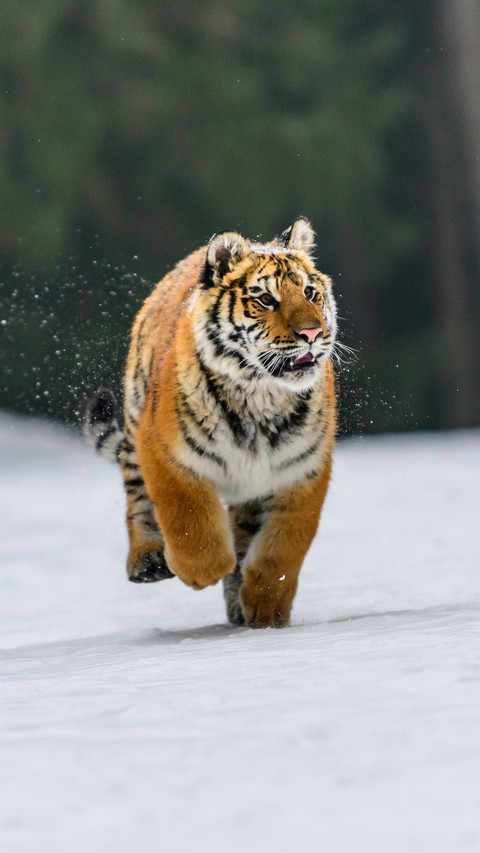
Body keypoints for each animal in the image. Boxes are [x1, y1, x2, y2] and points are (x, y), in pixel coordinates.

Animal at [85, 217, 337, 628]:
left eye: (310, 292)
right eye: (266, 300)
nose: (313, 333)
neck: (260, 396)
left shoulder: (303, 471)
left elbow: (283, 547)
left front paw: (267, 609)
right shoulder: (167, 455)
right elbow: (191, 523)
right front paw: (200, 570)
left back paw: (238, 607)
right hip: (137, 422)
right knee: (137, 497)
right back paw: (148, 561)